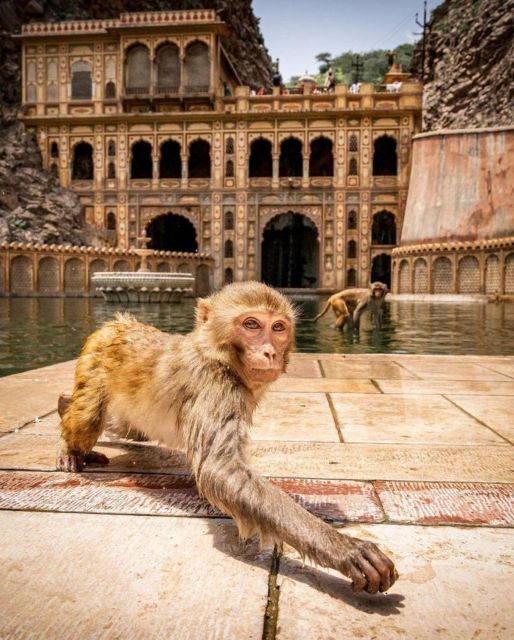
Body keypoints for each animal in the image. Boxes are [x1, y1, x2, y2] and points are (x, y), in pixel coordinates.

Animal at [56, 281, 397, 595]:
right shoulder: (213, 384)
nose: (270, 351)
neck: (219, 356)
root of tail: (116, 323)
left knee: (127, 428)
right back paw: (71, 446)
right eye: (251, 324)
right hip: (95, 361)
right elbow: (220, 470)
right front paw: (344, 548)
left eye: (278, 327)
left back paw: (63, 404)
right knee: (89, 417)